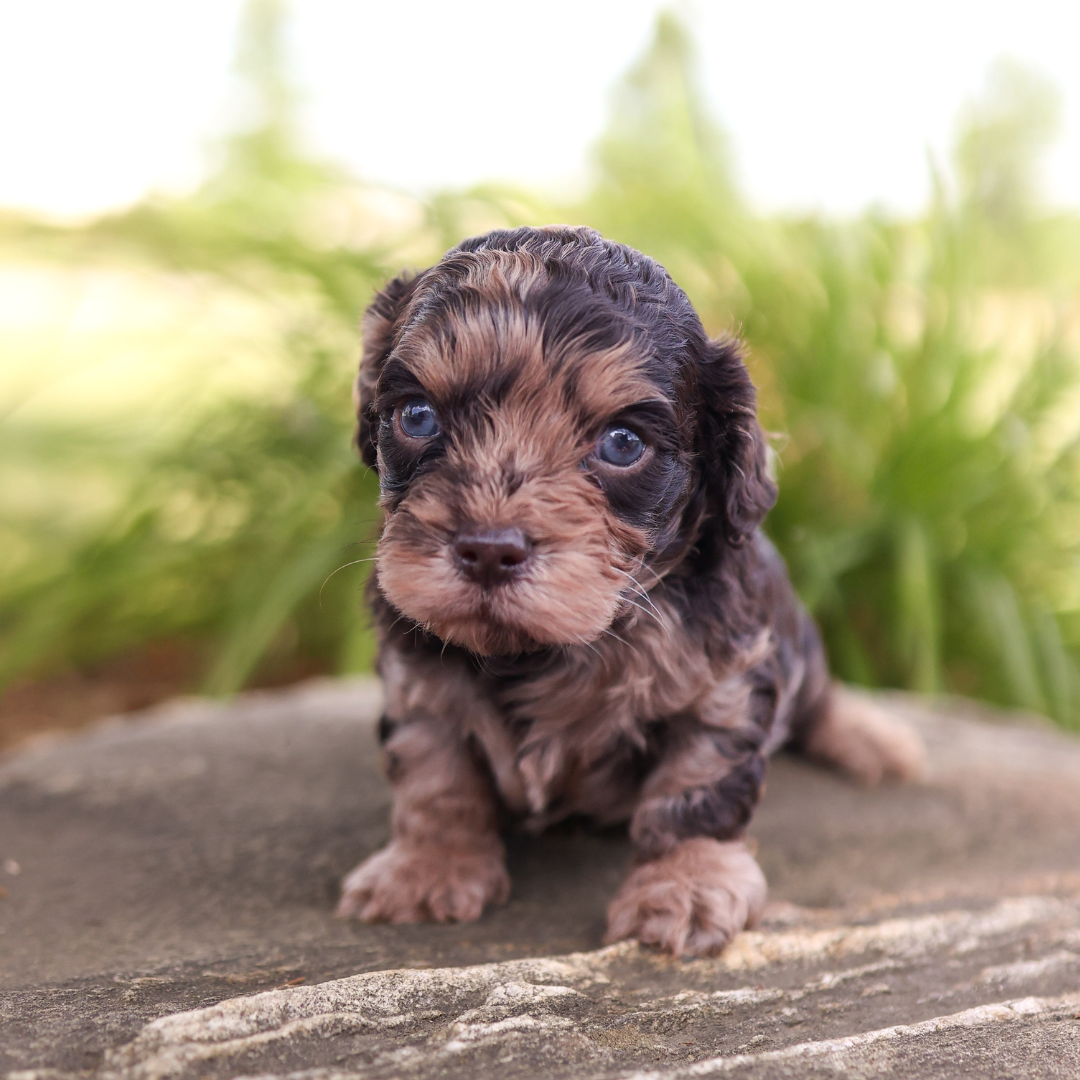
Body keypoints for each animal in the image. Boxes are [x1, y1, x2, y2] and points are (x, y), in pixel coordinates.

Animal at [334, 225, 920, 954]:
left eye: (621, 443)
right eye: (416, 416)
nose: (488, 551)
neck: (540, 651)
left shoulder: (725, 682)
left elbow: (696, 788)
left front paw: (685, 886)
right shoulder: (417, 680)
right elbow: (433, 774)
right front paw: (426, 868)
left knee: (819, 696)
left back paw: (873, 739)